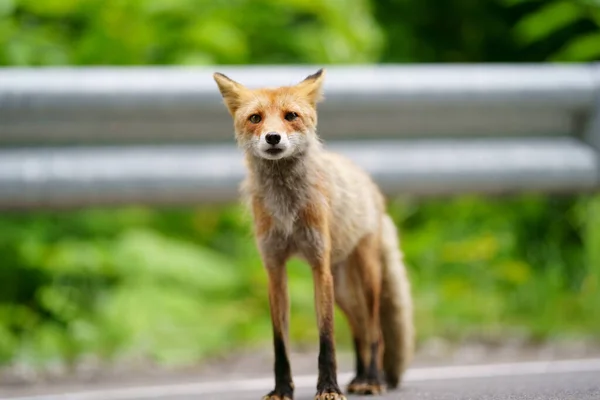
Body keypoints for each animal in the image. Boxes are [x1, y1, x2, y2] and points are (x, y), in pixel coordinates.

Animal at [213, 69, 414, 400]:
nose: (272, 137)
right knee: (360, 333)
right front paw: (282, 390)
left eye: (290, 116)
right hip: (343, 289)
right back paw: (359, 377)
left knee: (375, 333)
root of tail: (367, 181)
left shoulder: (319, 266)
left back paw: (372, 380)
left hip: (364, 278)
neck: (287, 209)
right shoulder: (275, 269)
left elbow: (327, 339)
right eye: (255, 118)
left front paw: (328, 389)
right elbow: (280, 343)